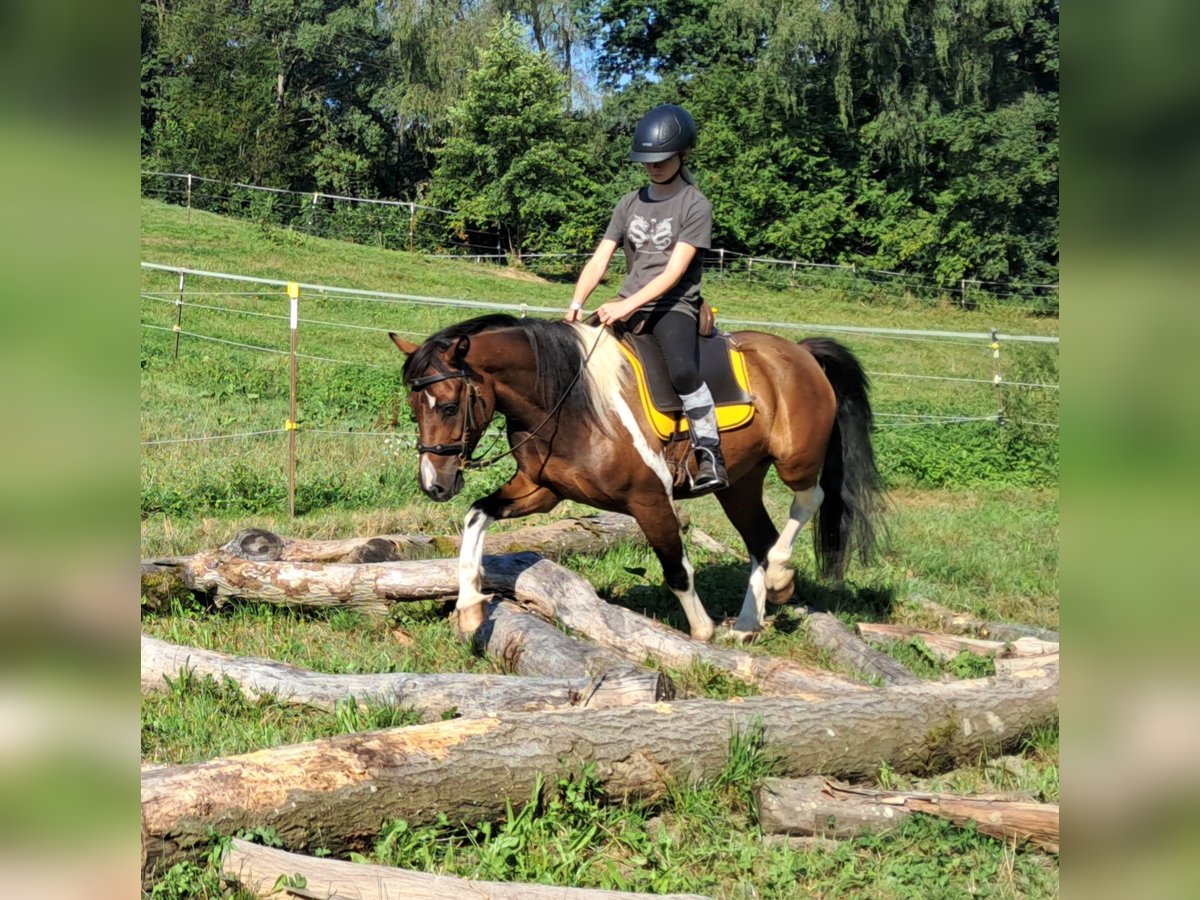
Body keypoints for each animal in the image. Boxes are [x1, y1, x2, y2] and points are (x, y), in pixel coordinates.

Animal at [388, 314, 888, 643]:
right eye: (413, 406)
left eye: (448, 405)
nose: (434, 484)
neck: (570, 400)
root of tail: (800, 351)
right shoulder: (541, 491)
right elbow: (475, 517)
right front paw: (470, 609)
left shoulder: (649, 499)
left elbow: (678, 570)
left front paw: (702, 632)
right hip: (740, 485)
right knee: (759, 540)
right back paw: (749, 623)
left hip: (794, 461)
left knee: (810, 499)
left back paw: (782, 577)